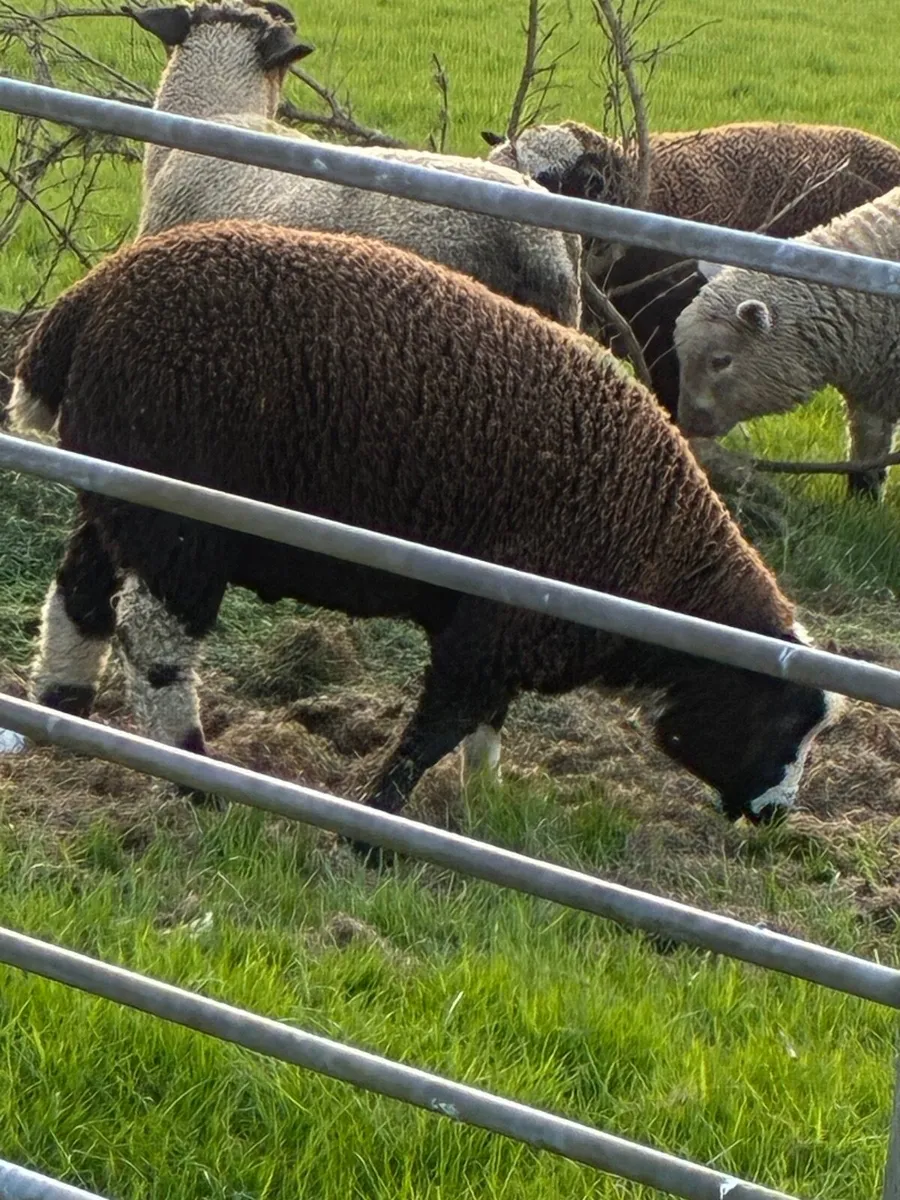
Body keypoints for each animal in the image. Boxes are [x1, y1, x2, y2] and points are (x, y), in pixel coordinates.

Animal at [8, 219, 838, 853]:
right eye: (784, 718)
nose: (776, 819)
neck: (659, 554)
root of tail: (84, 303)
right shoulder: (493, 633)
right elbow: (438, 726)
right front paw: (374, 831)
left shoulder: (503, 631)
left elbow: (483, 727)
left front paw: (483, 801)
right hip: (180, 520)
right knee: (156, 645)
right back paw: (192, 775)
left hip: (115, 496)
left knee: (80, 596)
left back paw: (60, 714)